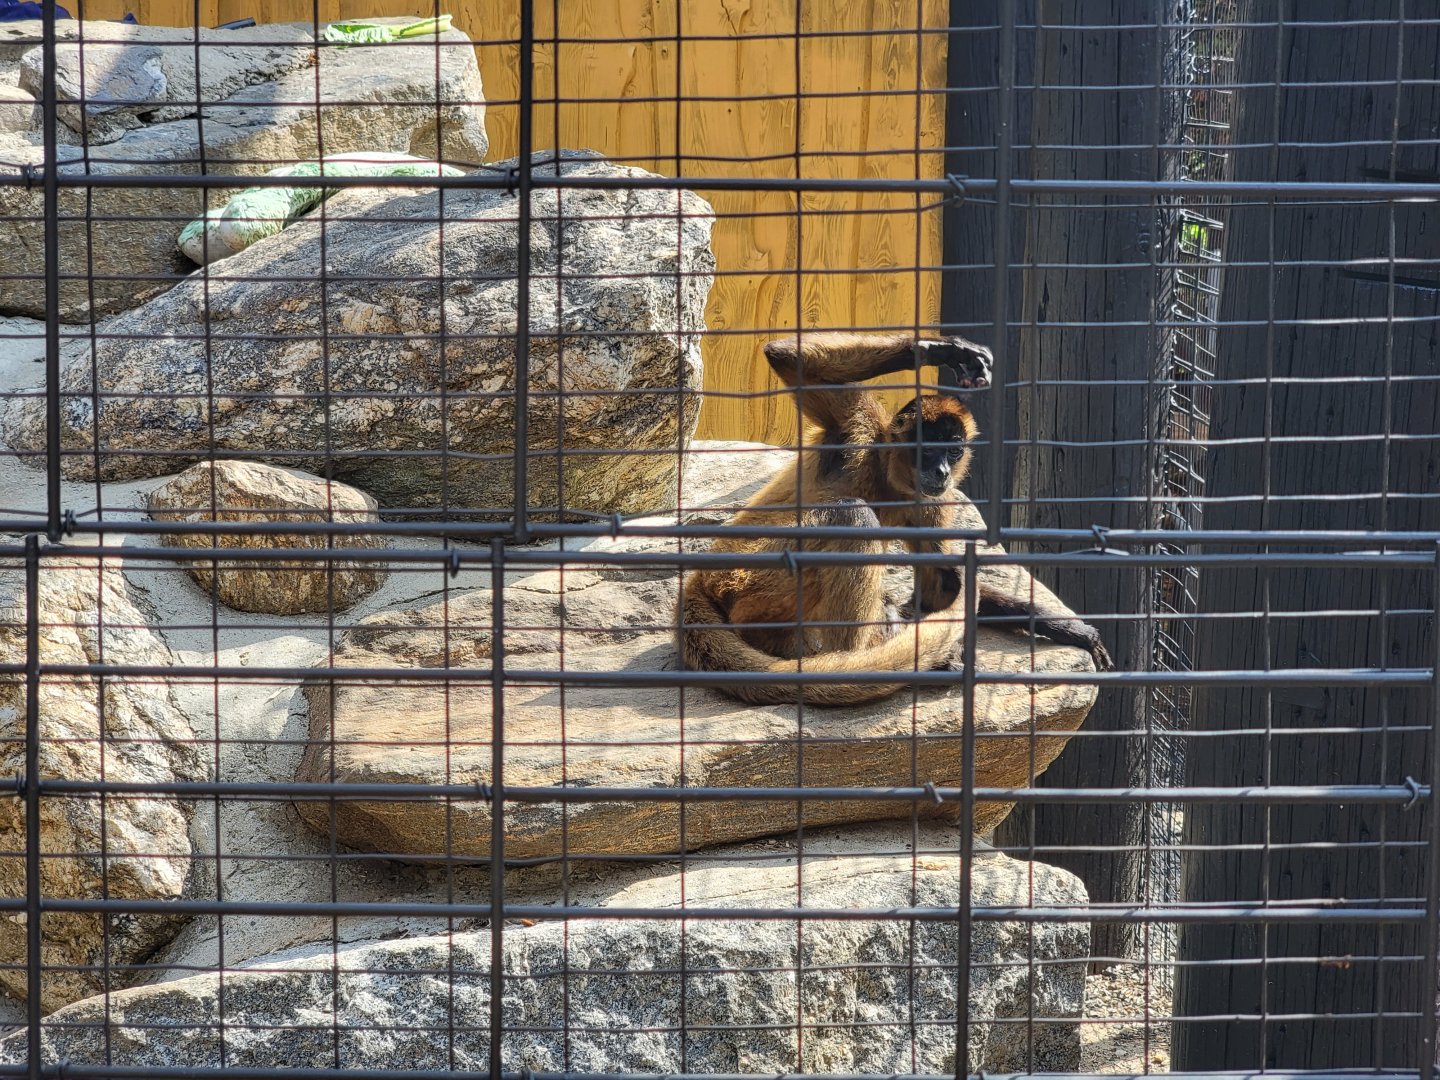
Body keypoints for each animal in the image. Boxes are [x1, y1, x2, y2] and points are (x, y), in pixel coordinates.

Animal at [679, 330, 1113, 706]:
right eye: (928, 450)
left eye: (953, 451)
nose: (942, 471)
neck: (885, 476)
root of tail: (701, 579)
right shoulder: (859, 428)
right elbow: (788, 357)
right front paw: (945, 349)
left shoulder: (928, 500)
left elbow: (939, 585)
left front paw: (1068, 628)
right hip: (751, 581)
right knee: (851, 514)